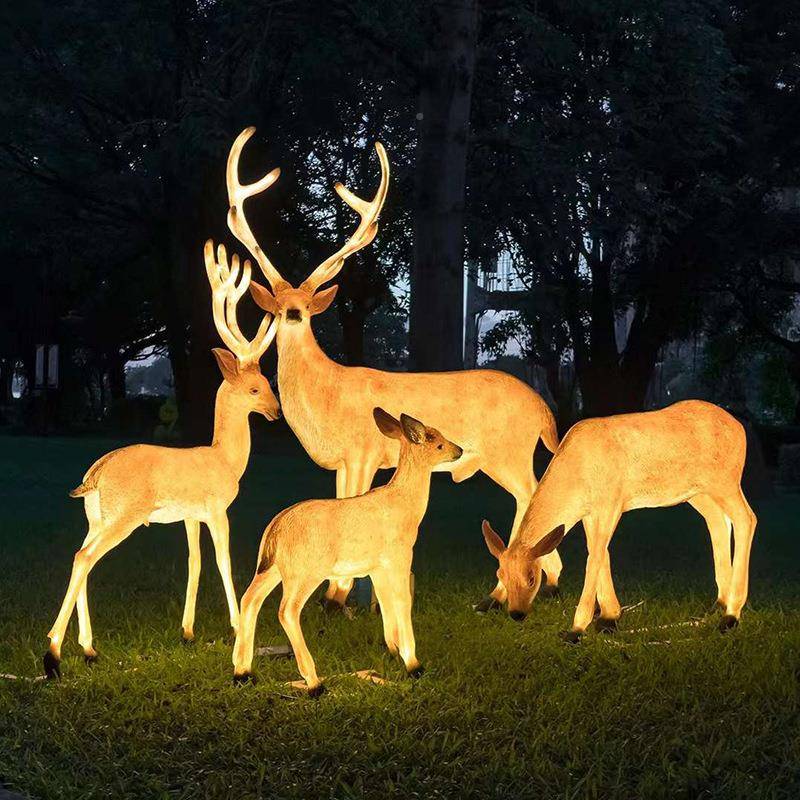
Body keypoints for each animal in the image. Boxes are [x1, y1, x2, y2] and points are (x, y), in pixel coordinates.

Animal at [43, 244, 279, 679]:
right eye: (257, 388)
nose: (275, 412)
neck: (225, 459)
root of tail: (95, 475)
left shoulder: (189, 514)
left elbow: (194, 561)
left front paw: (187, 630)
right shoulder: (217, 507)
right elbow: (222, 559)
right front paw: (236, 623)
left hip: (96, 516)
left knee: (79, 555)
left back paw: (88, 648)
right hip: (125, 515)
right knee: (85, 557)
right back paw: (53, 652)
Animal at [214, 126, 563, 612]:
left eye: (302, 308)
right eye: (279, 306)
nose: (289, 314)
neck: (326, 393)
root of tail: (544, 409)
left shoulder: (363, 451)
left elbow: (353, 504)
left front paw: (337, 599)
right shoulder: (342, 461)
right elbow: (341, 503)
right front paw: (340, 594)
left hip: (508, 451)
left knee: (533, 498)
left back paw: (522, 588)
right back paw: (529, 587)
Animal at [232, 408, 463, 695]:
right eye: (437, 442)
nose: (459, 450)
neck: (405, 506)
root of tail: (275, 529)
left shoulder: (377, 567)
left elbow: (385, 603)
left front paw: (393, 651)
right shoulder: (399, 556)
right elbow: (402, 601)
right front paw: (414, 665)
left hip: (272, 568)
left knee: (249, 599)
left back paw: (242, 673)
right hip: (305, 571)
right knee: (287, 611)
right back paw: (314, 683)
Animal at [481, 400, 757, 641]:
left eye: (532, 577)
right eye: (500, 573)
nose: (516, 613)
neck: (576, 472)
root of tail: (741, 431)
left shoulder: (611, 503)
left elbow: (595, 555)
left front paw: (577, 629)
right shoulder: (590, 512)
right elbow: (598, 551)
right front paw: (609, 618)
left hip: (726, 481)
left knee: (746, 518)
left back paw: (731, 615)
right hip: (698, 492)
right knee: (719, 521)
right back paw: (719, 604)